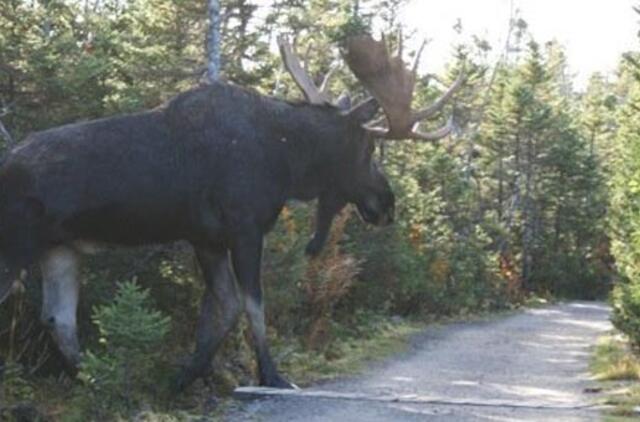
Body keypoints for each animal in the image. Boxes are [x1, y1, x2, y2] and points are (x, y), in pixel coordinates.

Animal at [0, 34, 462, 390]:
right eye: (367, 148)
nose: (387, 203)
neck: (287, 160)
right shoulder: (245, 226)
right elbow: (253, 305)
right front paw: (271, 375)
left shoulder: (206, 237)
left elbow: (222, 309)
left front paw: (184, 378)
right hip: (16, 245)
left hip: (60, 249)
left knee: (58, 318)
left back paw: (99, 383)